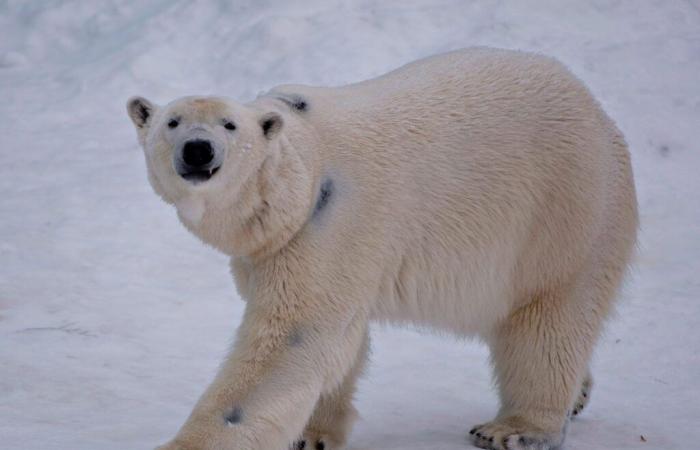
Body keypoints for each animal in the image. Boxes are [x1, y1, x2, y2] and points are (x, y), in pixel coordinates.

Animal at [127, 47, 640, 448]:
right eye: (172, 121)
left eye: (230, 125)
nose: (198, 149)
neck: (302, 177)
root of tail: (601, 117)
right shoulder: (270, 253)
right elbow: (336, 345)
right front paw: (313, 433)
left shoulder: (327, 225)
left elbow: (291, 339)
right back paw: (579, 394)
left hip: (563, 214)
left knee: (547, 324)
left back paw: (513, 429)